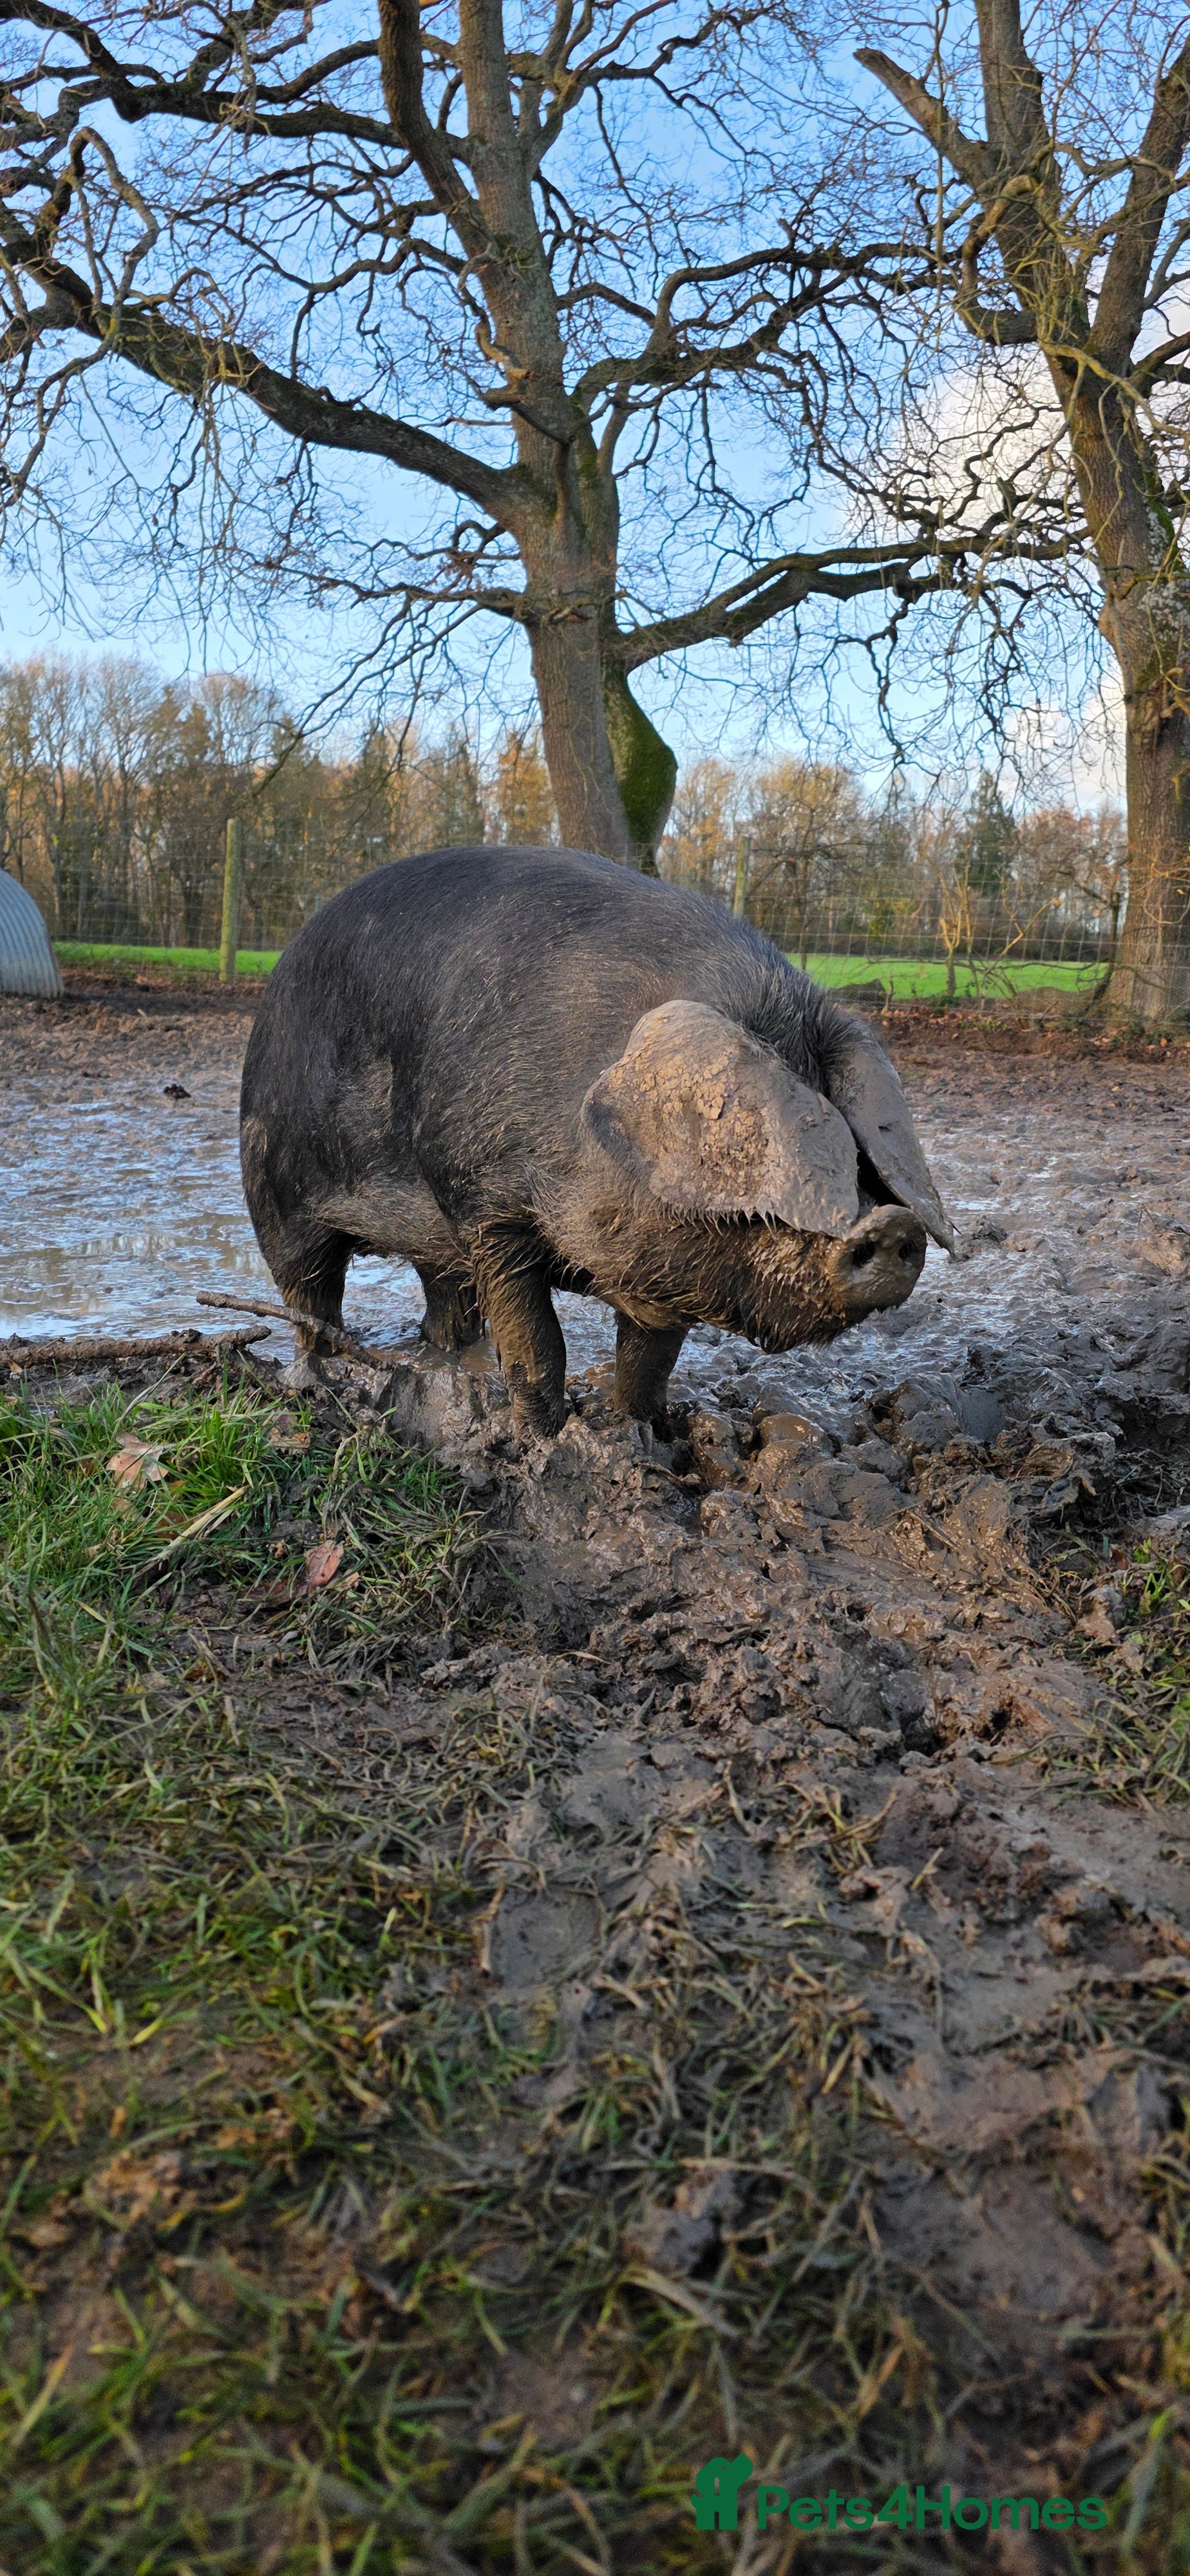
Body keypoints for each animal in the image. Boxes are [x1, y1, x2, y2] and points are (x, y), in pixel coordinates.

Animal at [239, 844, 951, 1438]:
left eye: (859, 1160)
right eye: (749, 1160)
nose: (893, 1226)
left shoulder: (665, 1270)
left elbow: (649, 1361)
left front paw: (646, 1435)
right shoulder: (483, 1204)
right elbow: (535, 1345)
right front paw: (546, 1440)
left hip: (426, 1241)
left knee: (442, 1295)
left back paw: (442, 1356)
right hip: (272, 1184)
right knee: (309, 1294)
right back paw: (318, 1377)